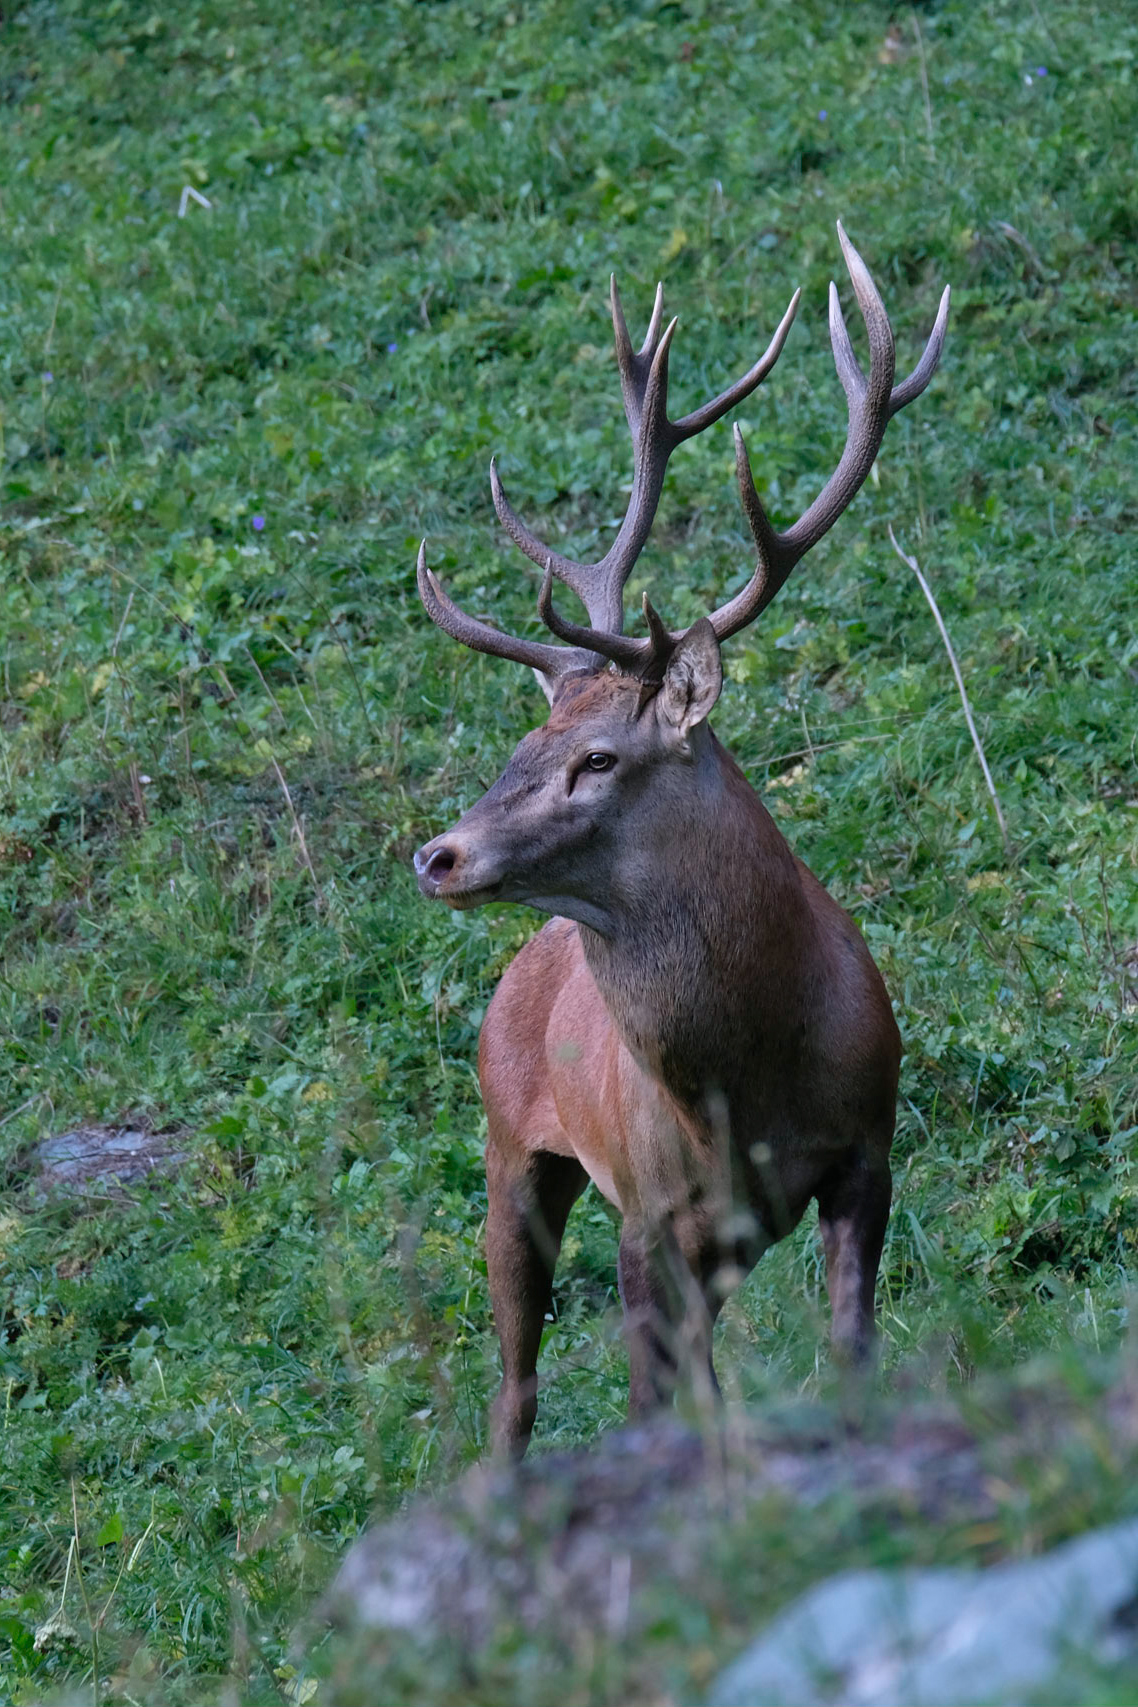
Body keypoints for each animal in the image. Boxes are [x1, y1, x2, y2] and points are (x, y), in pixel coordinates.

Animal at [412, 223, 949, 1458]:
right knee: (519, 1388)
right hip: (512, 1156)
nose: (439, 855)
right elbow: (664, 1399)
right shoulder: (653, 1213)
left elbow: (851, 1348)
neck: (748, 1085)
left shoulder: (870, 1148)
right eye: (526, 739)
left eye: (599, 757)